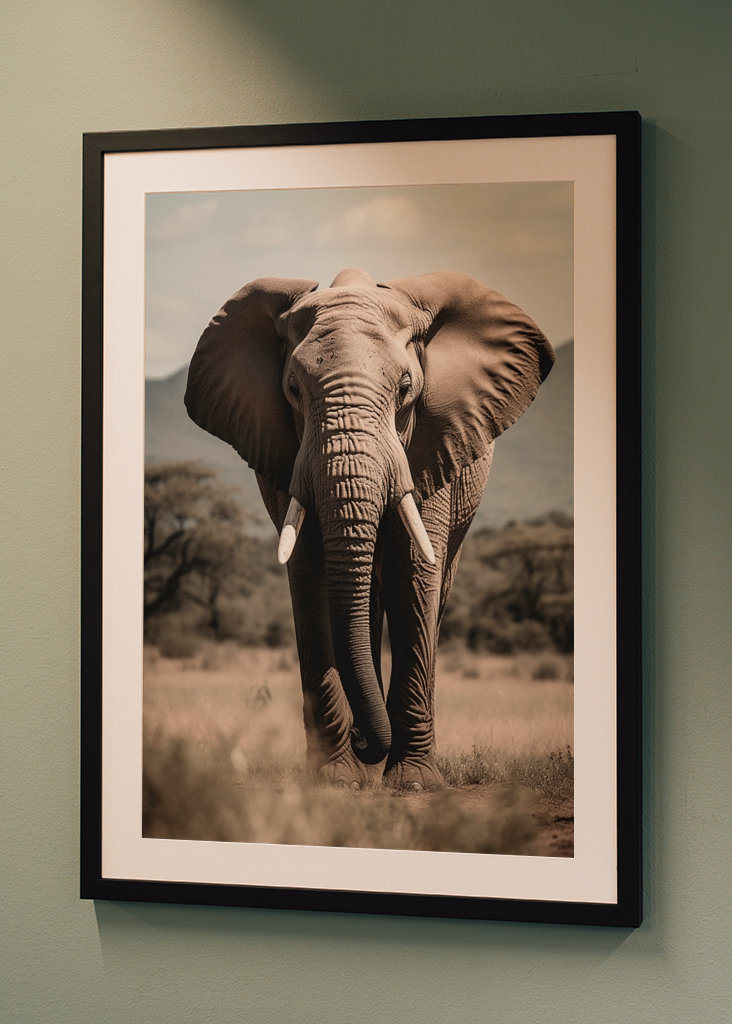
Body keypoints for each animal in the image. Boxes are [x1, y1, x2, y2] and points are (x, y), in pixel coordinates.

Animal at [185, 268, 554, 791]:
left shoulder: (433, 443)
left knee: (434, 594)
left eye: (405, 389)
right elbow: (313, 575)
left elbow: (413, 576)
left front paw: (413, 783)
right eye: (293, 389)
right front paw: (338, 779)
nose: (364, 738)